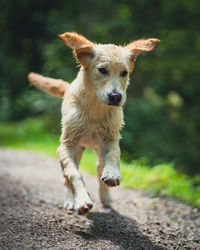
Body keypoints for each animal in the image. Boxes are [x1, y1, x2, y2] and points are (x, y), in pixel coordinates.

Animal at [27, 31, 159, 215]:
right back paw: (71, 200)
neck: (95, 107)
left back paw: (106, 197)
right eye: (102, 70)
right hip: (76, 150)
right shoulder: (66, 145)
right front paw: (82, 200)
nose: (116, 97)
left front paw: (112, 175)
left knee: (99, 167)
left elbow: (114, 155)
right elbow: (73, 174)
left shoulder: (111, 138)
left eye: (124, 73)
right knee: (67, 176)